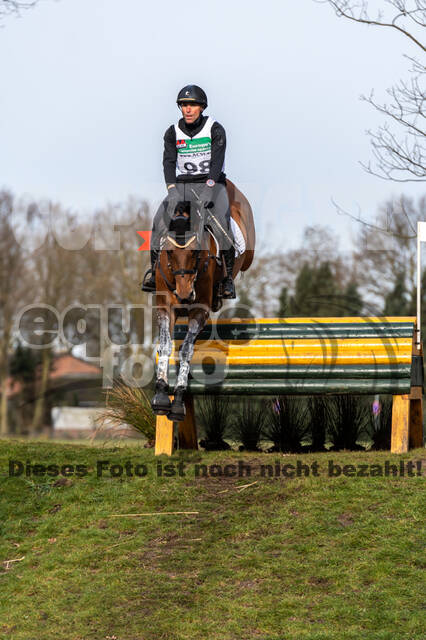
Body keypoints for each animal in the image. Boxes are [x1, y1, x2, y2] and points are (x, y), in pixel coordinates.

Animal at [151, 179, 255, 420]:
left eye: (195, 252)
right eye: (169, 252)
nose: (184, 295)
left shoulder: (200, 310)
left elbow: (186, 350)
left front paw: (178, 400)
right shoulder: (165, 306)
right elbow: (165, 345)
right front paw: (161, 395)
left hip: (248, 254)